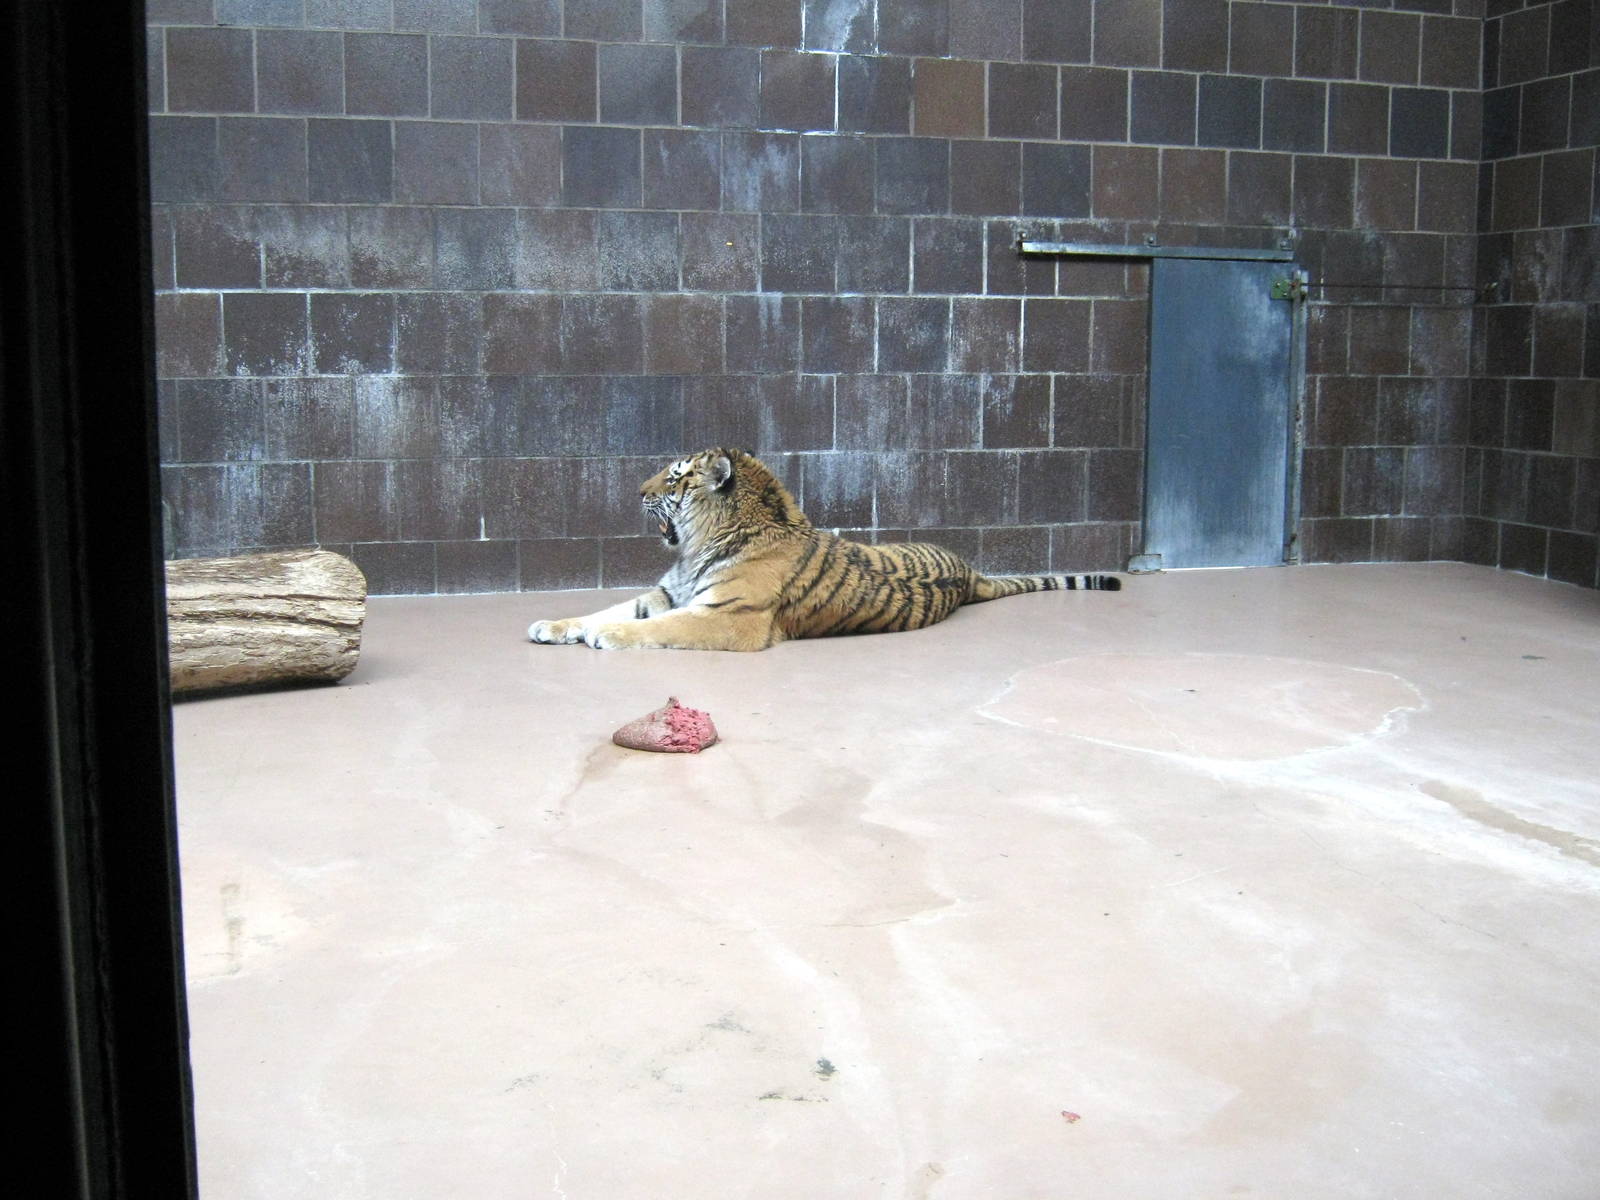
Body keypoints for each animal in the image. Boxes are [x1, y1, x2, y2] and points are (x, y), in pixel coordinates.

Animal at [527, 447, 1121, 652]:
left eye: (673, 479)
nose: (637, 491)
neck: (697, 547)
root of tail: (969, 570)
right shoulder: (666, 595)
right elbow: (607, 608)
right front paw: (554, 625)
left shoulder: (729, 617)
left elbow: (653, 627)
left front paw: (607, 637)